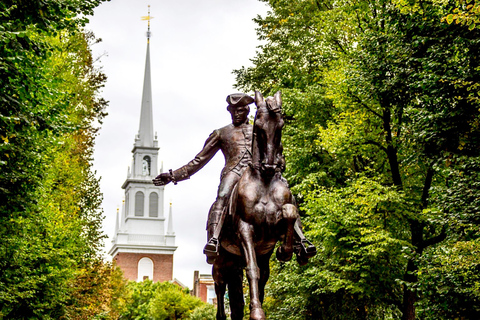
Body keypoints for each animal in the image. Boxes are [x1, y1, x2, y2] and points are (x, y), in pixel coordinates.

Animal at [213, 90, 310, 320]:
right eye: (258, 125)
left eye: (281, 125)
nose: (270, 165)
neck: (264, 181)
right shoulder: (245, 229)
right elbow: (253, 270)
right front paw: (256, 311)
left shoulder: (272, 234)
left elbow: (289, 213)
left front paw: (286, 251)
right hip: (220, 263)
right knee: (220, 289)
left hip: (242, 260)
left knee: (248, 289)